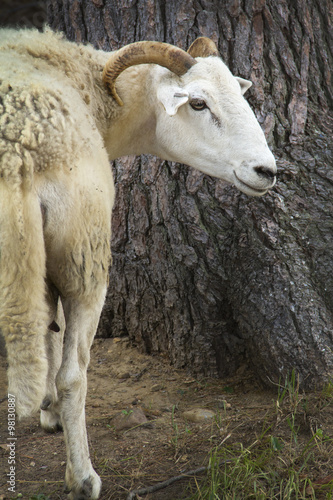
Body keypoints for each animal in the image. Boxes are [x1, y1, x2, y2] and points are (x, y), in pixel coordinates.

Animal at [0, 28, 274, 500]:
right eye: (197, 104)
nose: (267, 170)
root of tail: (19, 153)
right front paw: (56, 416)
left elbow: (47, 325)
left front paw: (46, 409)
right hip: (87, 252)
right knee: (76, 375)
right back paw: (83, 477)